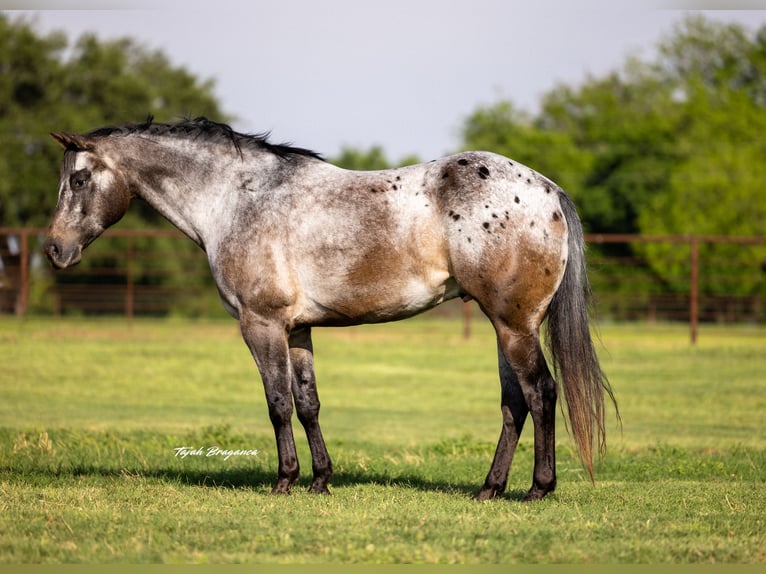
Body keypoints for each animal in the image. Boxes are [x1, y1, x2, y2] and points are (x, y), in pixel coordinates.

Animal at [44, 117, 617, 501]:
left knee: (540, 394)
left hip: (514, 326)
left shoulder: (261, 325)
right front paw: (320, 480)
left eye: (78, 180)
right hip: (505, 326)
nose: (54, 249)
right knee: (514, 404)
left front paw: (285, 480)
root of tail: (548, 191)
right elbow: (308, 404)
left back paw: (539, 488)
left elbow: (277, 404)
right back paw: (489, 489)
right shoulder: (298, 330)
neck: (238, 200)